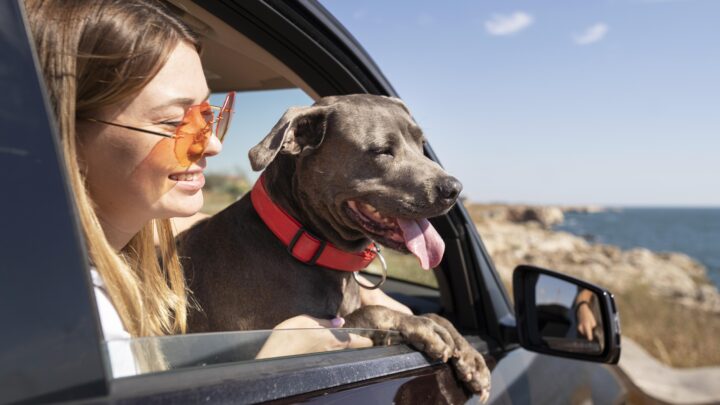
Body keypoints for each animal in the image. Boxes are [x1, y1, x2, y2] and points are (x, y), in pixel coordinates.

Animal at [180, 94, 492, 398]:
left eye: (421, 143)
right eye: (382, 150)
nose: (454, 189)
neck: (299, 241)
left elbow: (431, 316)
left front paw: (467, 352)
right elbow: (372, 312)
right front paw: (422, 326)